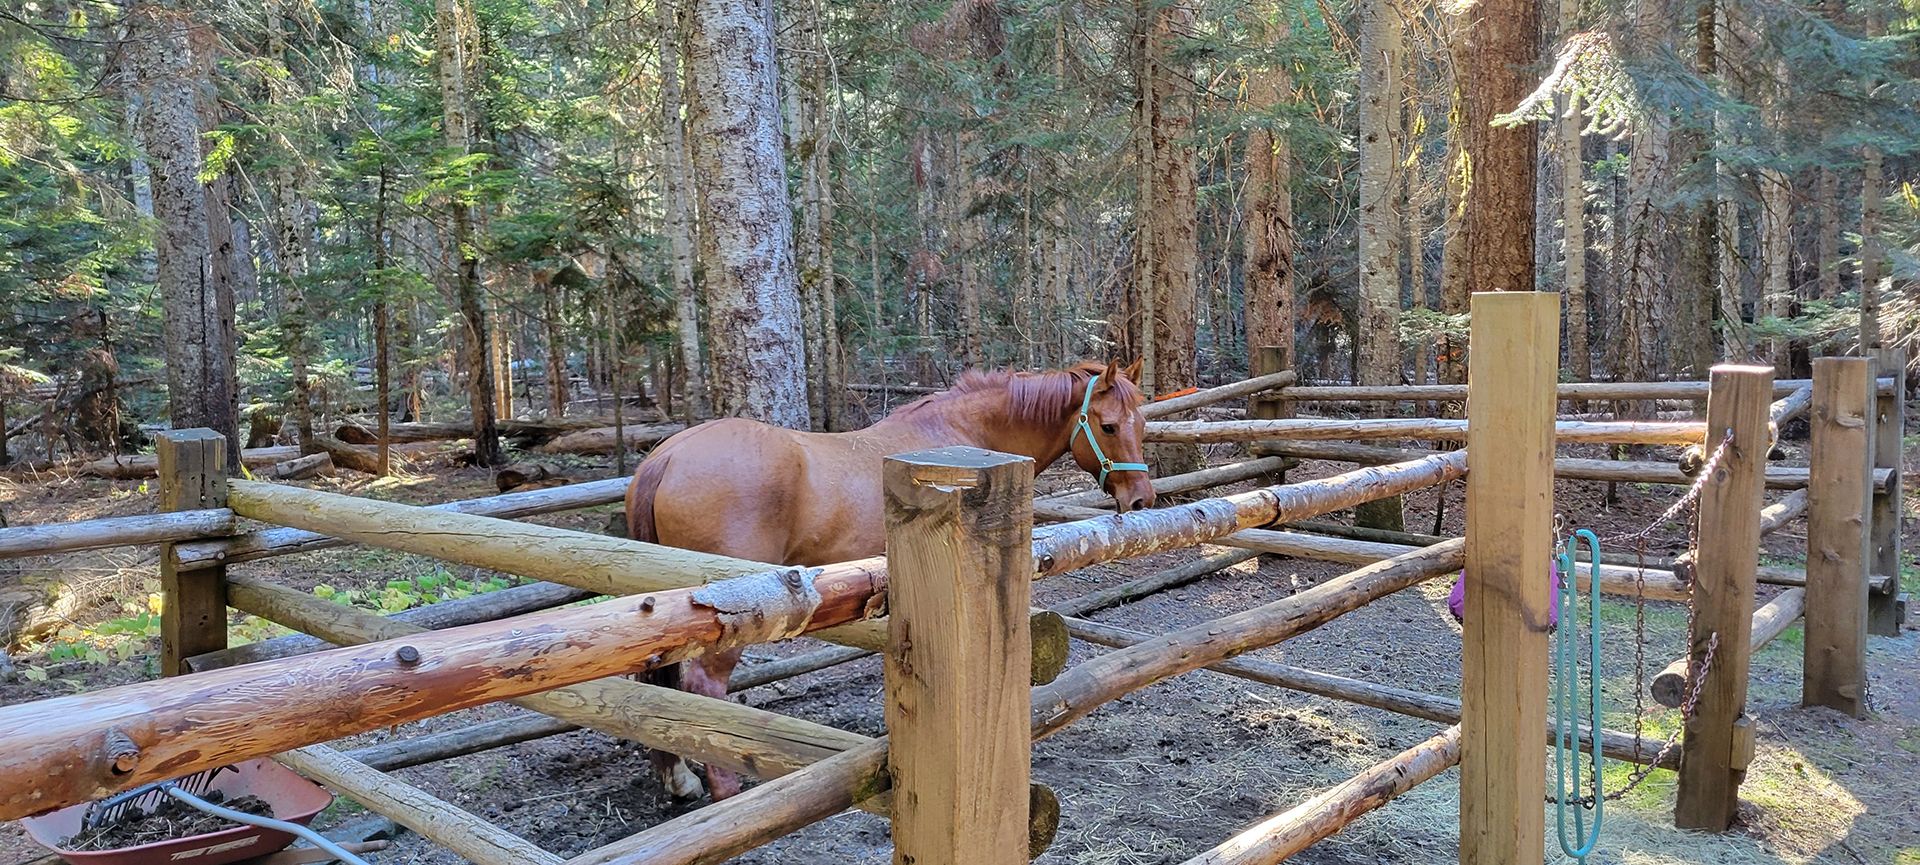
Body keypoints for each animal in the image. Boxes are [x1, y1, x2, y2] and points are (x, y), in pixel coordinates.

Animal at [625, 359, 1156, 800]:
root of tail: (664, 459)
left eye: (1142, 423)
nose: (1141, 500)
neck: (964, 440)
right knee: (702, 684)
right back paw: (724, 787)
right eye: (1108, 426)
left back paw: (679, 778)